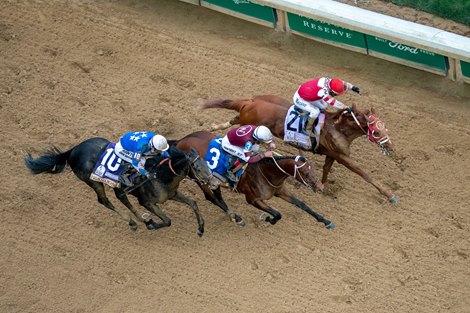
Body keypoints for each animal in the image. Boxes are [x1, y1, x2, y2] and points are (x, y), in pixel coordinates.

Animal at [24, 135, 218, 235]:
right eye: (197, 168)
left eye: (207, 164)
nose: (215, 183)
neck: (162, 176)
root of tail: (73, 150)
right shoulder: (147, 202)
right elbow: (167, 221)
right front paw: (152, 224)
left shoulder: (171, 194)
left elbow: (193, 203)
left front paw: (201, 229)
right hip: (93, 181)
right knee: (104, 201)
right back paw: (134, 221)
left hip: (114, 185)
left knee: (121, 197)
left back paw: (140, 219)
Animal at [175, 130, 334, 228]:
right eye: (306, 173)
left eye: (314, 170)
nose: (320, 187)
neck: (267, 173)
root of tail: (180, 141)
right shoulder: (252, 199)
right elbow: (277, 214)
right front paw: (266, 218)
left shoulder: (279, 191)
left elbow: (302, 204)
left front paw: (326, 221)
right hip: (198, 178)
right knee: (212, 198)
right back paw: (237, 218)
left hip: (212, 181)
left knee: (217, 196)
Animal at [200, 94, 398, 204]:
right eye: (377, 131)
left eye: (386, 127)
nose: (391, 147)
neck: (338, 127)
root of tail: (251, 101)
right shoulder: (341, 155)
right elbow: (363, 173)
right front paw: (390, 195)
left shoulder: (333, 153)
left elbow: (326, 169)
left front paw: (321, 185)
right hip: (249, 124)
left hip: (245, 119)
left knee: (232, 121)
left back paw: (212, 127)